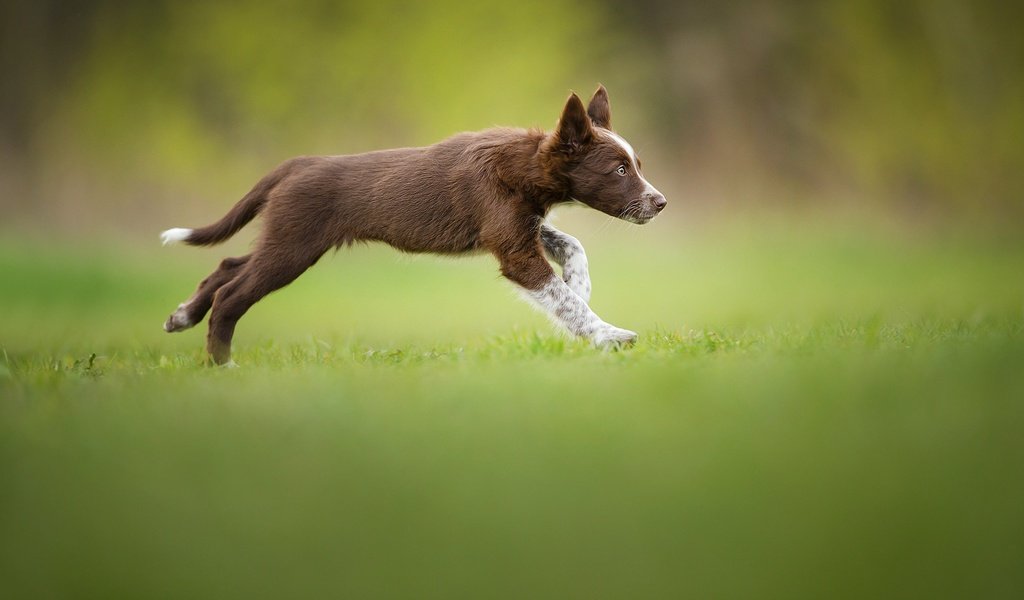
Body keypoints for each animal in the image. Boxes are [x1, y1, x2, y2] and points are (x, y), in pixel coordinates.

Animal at [161, 86, 663, 362]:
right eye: (620, 170)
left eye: (637, 165)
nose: (660, 203)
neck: (523, 163)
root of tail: (297, 164)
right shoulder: (513, 246)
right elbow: (564, 300)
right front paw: (609, 335)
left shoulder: (519, 226)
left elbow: (571, 245)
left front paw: (581, 283)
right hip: (293, 245)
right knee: (233, 293)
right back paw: (222, 365)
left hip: (284, 237)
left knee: (228, 264)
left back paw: (182, 315)